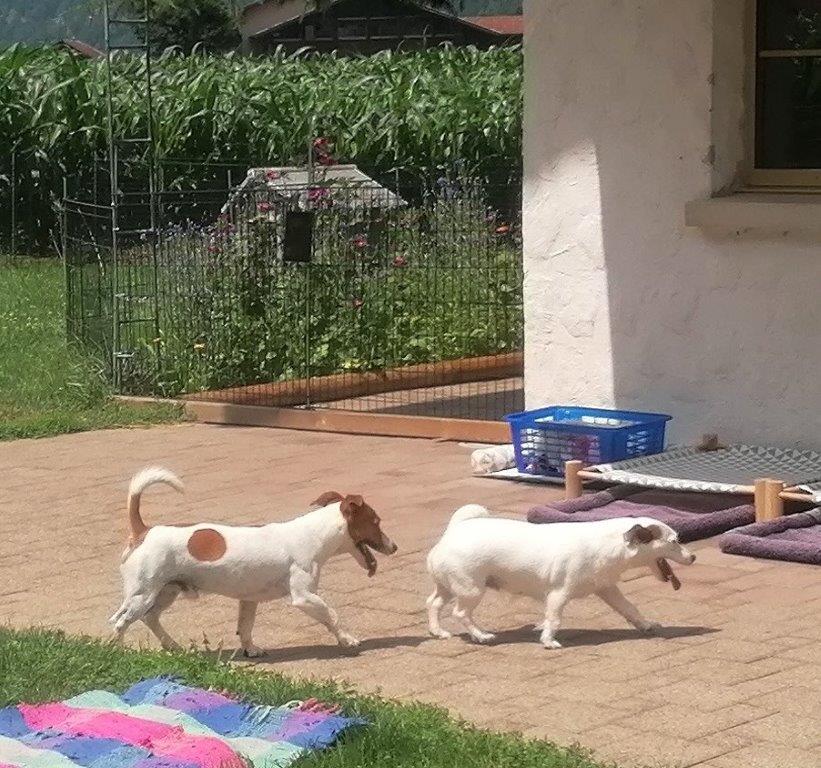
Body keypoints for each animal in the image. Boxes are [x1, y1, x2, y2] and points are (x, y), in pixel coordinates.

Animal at [110, 467, 398, 656]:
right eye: (376, 522)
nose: (394, 547)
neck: (315, 534)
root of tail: (144, 530)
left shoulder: (249, 600)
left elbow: (245, 627)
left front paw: (250, 649)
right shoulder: (304, 597)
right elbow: (331, 615)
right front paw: (347, 640)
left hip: (165, 592)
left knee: (150, 618)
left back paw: (172, 645)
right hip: (142, 594)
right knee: (121, 621)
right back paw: (118, 650)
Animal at [426, 505, 695, 648]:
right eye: (674, 541)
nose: (693, 557)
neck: (609, 545)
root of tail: (453, 532)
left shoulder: (608, 589)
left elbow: (629, 608)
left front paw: (646, 624)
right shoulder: (558, 595)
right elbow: (554, 619)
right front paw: (548, 640)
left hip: (448, 587)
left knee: (434, 603)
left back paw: (438, 631)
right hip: (471, 589)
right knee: (460, 613)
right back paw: (481, 635)